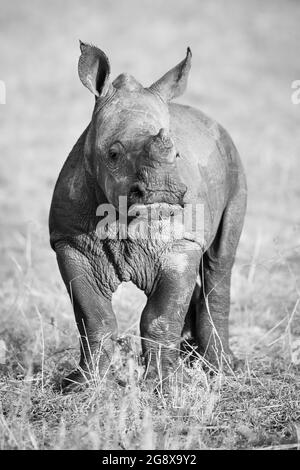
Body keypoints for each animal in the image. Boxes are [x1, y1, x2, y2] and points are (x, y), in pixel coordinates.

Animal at [48, 42, 246, 392]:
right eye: (113, 154)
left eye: (177, 154)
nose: (162, 191)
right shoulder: (70, 242)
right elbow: (94, 317)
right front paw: (79, 386)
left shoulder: (182, 243)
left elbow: (160, 317)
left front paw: (166, 386)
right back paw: (194, 357)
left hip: (234, 161)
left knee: (219, 261)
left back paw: (220, 368)